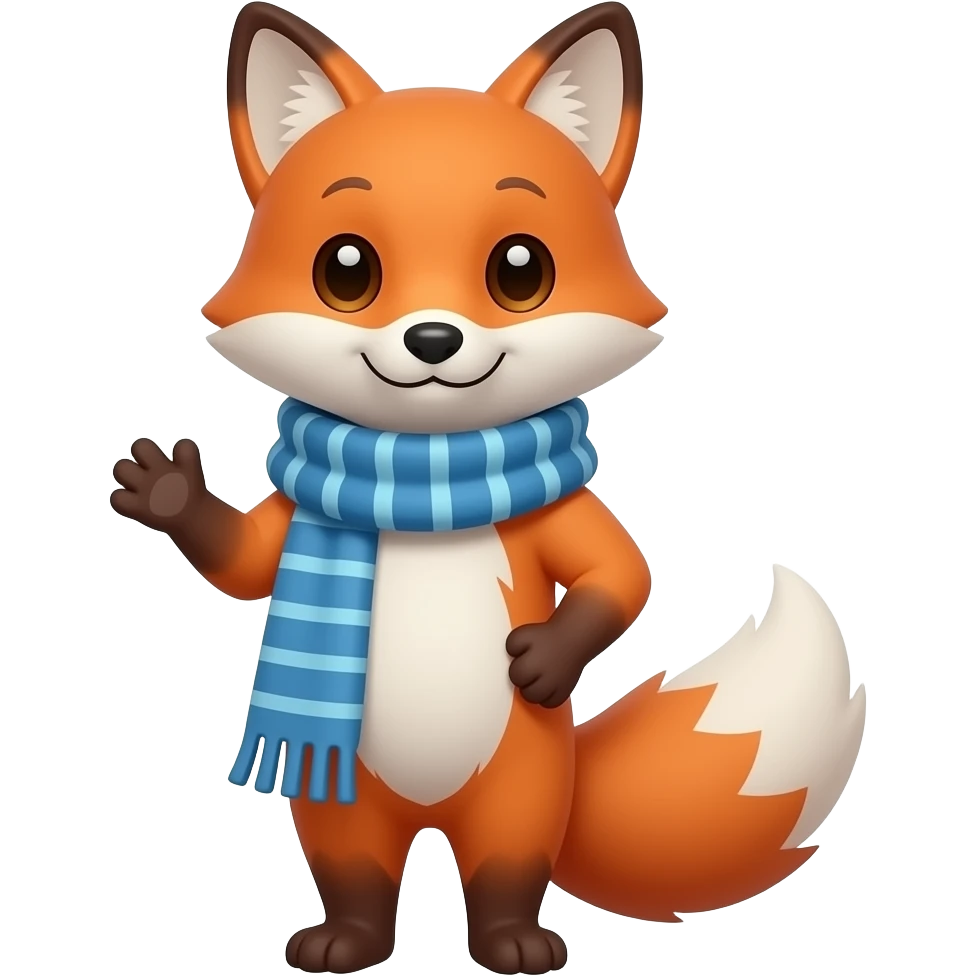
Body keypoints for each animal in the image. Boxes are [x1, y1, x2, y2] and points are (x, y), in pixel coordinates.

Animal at [109, 2, 867, 974]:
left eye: (520, 270)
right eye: (345, 270)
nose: (433, 340)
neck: (427, 478)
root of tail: (433, 815)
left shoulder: (564, 516)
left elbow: (624, 576)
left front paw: (544, 658)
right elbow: (245, 563)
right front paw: (170, 495)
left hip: (525, 791)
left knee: (507, 868)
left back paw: (513, 941)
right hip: (340, 794)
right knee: (356, 872)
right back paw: (347, 940)